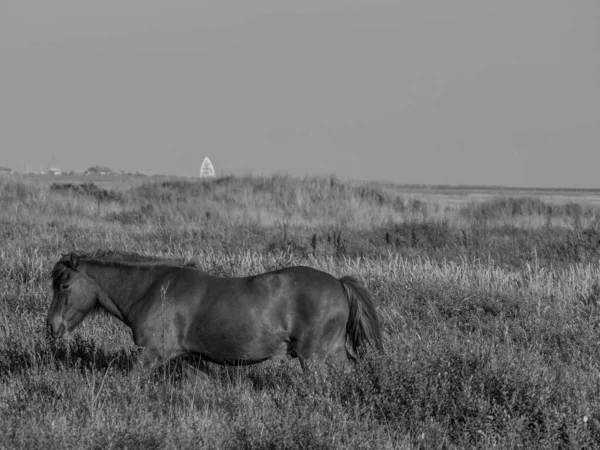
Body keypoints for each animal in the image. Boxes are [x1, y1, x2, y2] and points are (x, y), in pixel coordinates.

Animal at [48, 251, 384, 378]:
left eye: (63, 285)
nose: (52, 326)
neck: (153, 290)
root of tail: (339, 283)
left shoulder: (152, 354)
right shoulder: (191, 359)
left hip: (312, 358)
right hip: (333, 353)